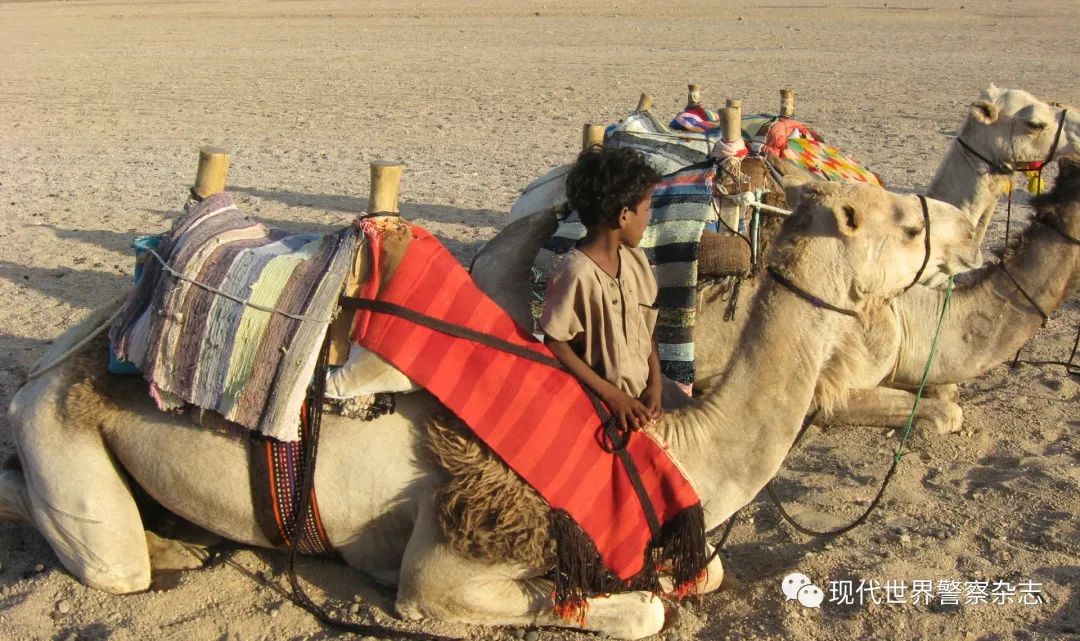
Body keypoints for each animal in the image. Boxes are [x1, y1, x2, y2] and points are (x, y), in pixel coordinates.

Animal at [0, 178, 980, 634]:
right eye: (900, 222)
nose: (968, 229)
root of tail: (63, 356)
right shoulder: (449, 558)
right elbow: (635, 608)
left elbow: (694, 576)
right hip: (62, 429)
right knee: (104, 555)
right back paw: (159, 550)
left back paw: (176, 538)